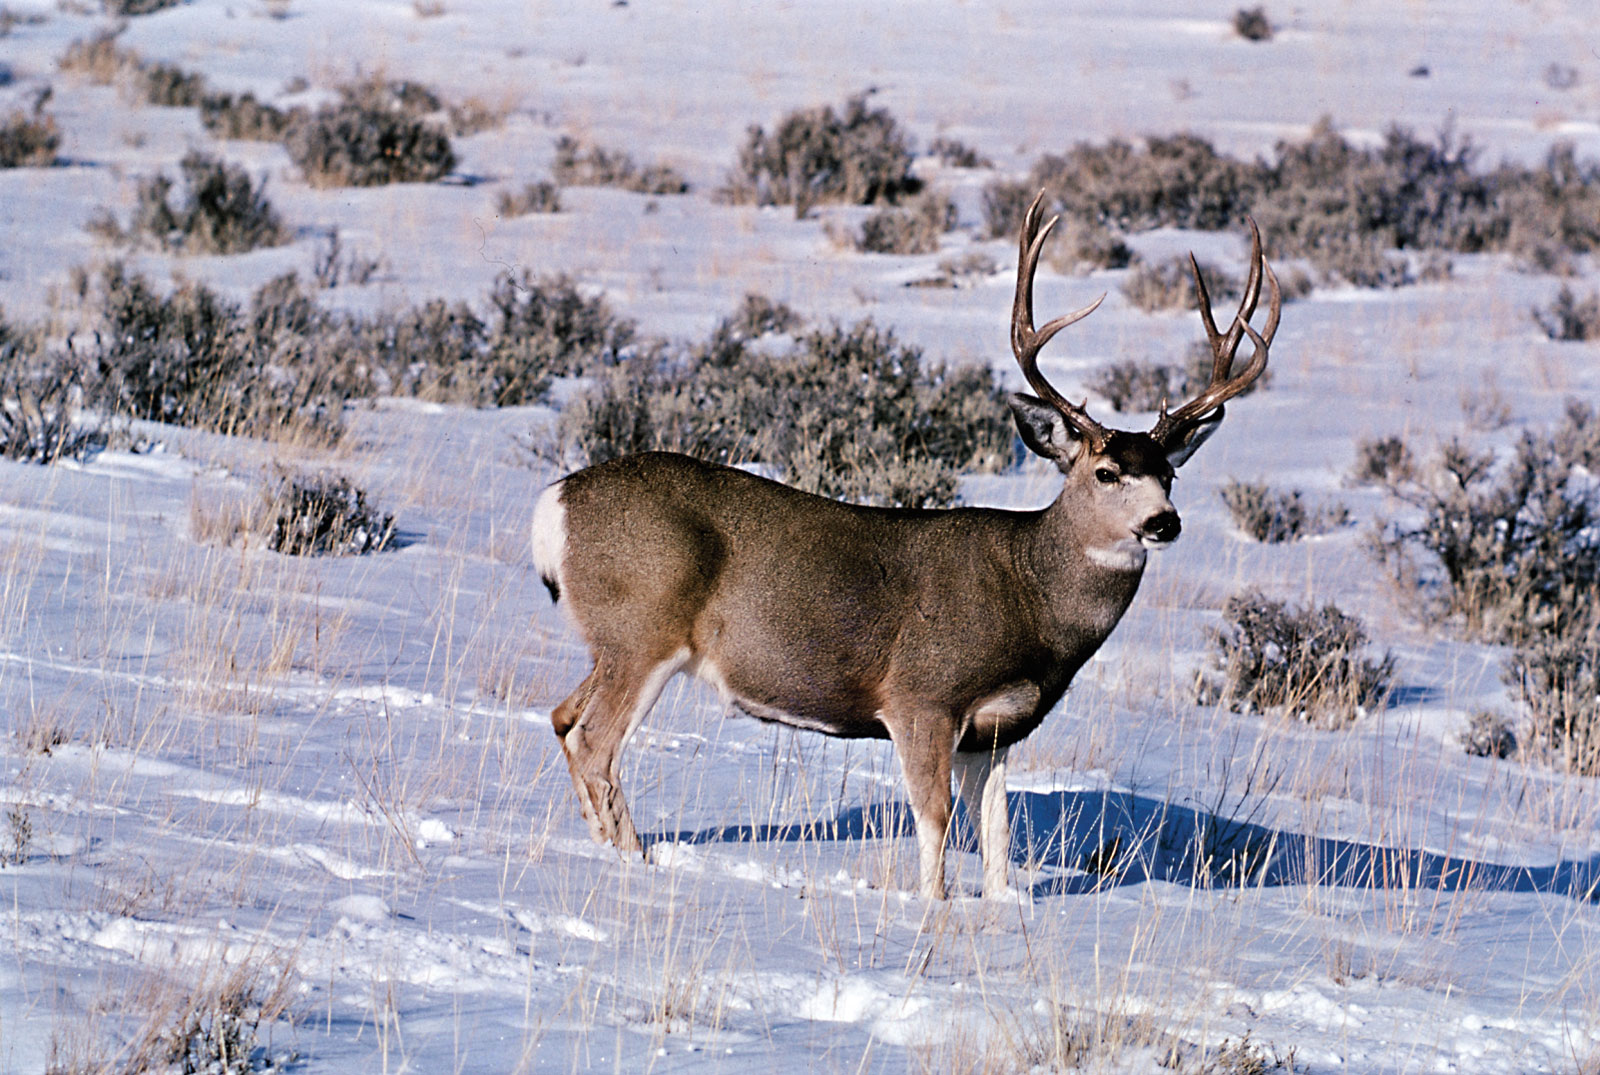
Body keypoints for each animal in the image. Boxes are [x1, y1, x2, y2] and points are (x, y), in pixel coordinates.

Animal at [531, 195, 1280, 895]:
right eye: (1105, 472)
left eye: (1170, 474)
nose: (1163, 523)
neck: (1032, 597)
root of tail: (554, 504)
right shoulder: (923, 695)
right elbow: (935, 818)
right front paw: (934, 910)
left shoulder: (997, 728)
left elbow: (997, 836)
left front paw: (999, 913)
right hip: (644, 629)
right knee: (595, 741)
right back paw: (631, 861)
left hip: (612, 640)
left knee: (564, 717)